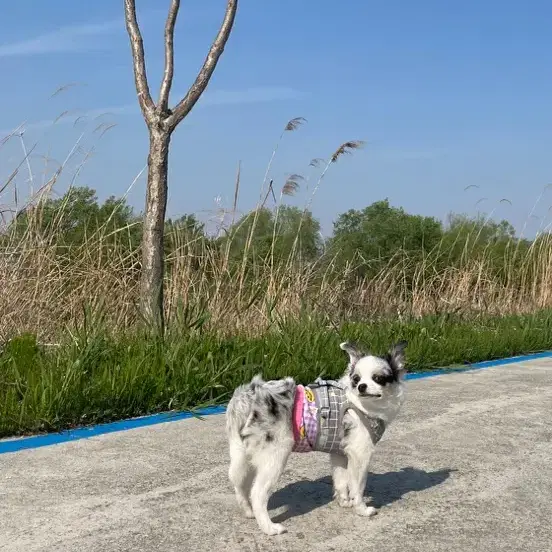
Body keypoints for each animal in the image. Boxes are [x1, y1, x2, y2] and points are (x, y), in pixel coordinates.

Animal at [226, 340, 408, 536]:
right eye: (356, 379)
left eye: (378, 378)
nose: (361, 386)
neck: (361, 405)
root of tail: (246, 398)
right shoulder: (361, 454)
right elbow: (357, 486)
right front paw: (361, 509)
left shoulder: (339, 453)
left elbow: (341, 479)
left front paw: (344, 501)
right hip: (275, 455)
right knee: (257, 493)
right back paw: (269, 527)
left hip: (243, 454)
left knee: (239, 482)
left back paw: (248, 511)